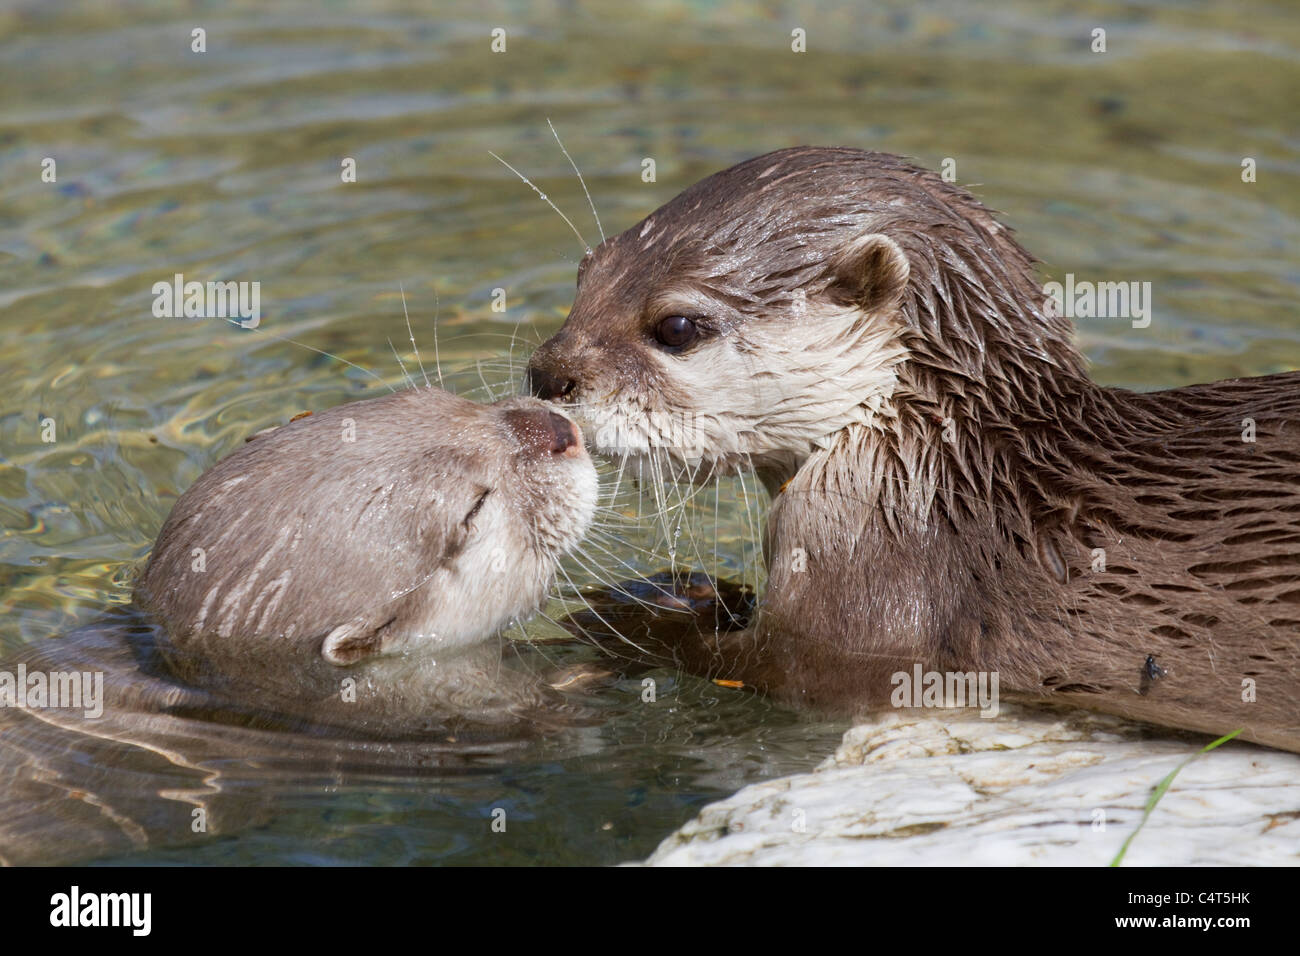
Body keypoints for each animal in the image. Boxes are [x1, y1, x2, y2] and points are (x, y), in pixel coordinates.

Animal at [526, 146, 1300, 753]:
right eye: (585, 275)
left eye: (678, 327)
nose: (546, 373)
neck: (937, 485)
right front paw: (676, 589)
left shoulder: (877, 604)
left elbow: (773, 665)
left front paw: (624, 617)